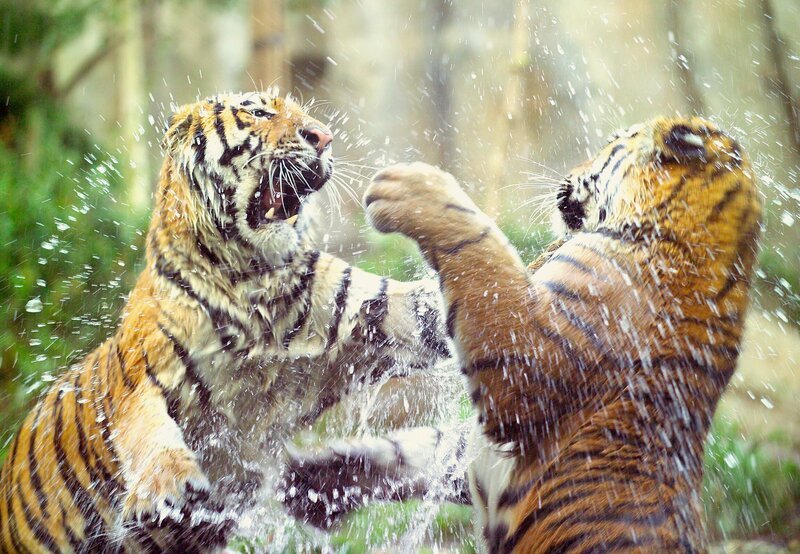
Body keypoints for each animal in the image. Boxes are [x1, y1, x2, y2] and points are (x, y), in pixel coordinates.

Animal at [0, 91, 450, 553]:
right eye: (258, 112)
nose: (324, 137)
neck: (253, 279)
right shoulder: (139, 379)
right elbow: (148, 431)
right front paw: (171, 489)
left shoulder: (368, 311)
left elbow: (421, 309)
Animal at [279, 117, 762, 553]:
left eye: (608, 145)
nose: (568, 172)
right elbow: (414, 447)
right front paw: (307, 482)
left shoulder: (529, 363)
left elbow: (480, 249)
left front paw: (413, 187)